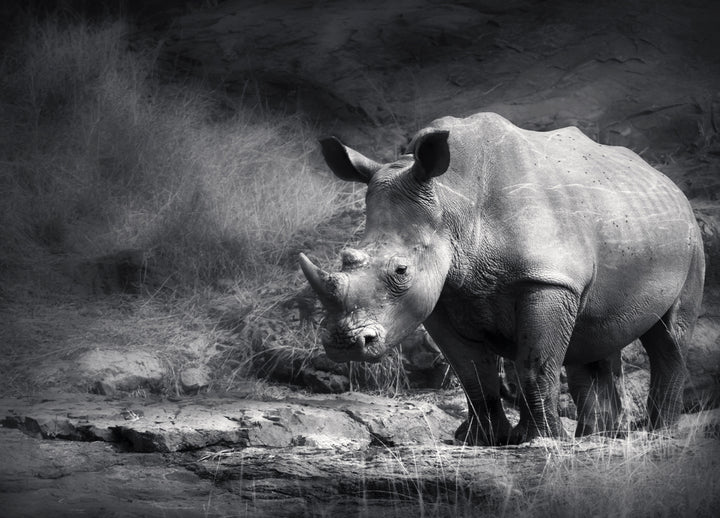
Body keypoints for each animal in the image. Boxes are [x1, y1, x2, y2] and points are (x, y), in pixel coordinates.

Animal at [299, 112, 705, 445]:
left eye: (401, 271)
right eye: (345, 258)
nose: (344, 344)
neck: (452, 204)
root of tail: (666, 181)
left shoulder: (547, 279)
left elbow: (534, 365)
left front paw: (544, 441)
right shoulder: (443, 296)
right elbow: (473, 374)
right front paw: (483, 441)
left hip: (690, 239)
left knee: (668, 337)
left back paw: (658, 433)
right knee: (593, 338)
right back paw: (599, 437)